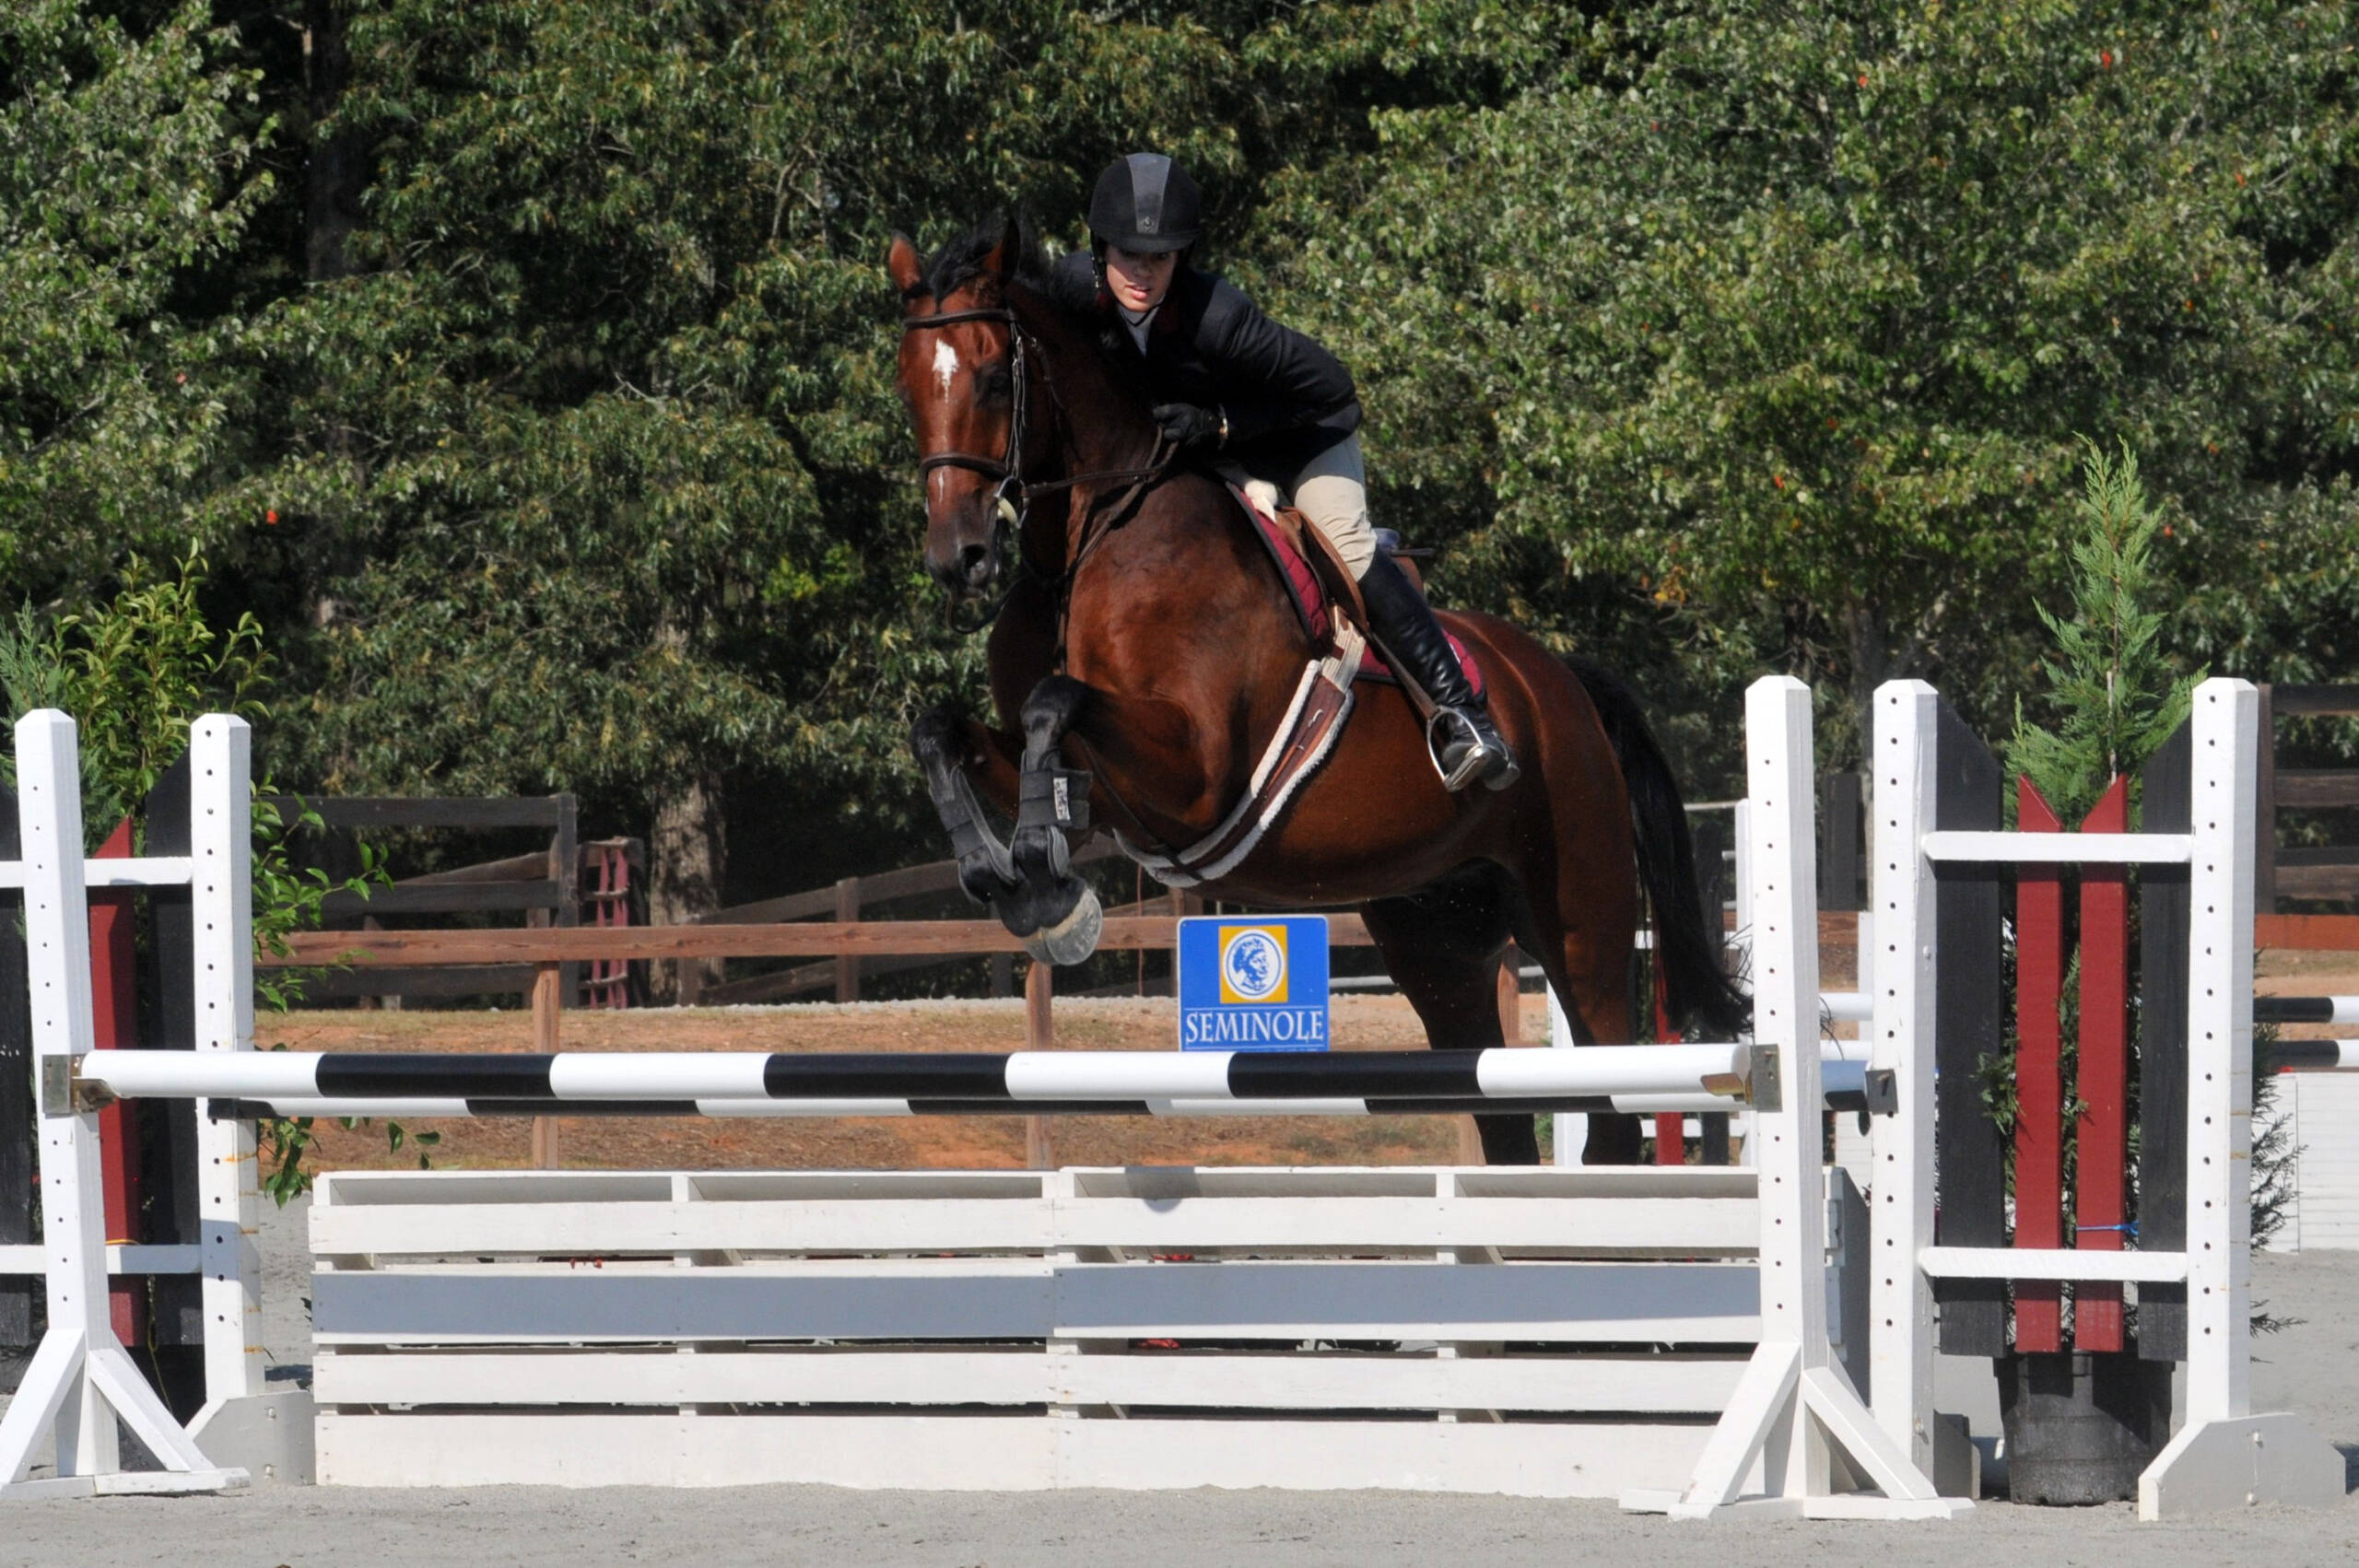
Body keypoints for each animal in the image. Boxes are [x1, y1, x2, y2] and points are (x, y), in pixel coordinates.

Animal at [886, 214, 1736, 1155]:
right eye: (907, 384)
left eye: (995, 377)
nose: (957, 558)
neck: (1091, 537)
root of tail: (1564, 686)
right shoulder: (1115, 788)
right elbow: (943, 730)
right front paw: (1006, 877)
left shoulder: (1197, 774)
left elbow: (1053, 703)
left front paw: (1045, 880)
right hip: (1439, 938)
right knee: (1500, 1111)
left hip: (1580, 921)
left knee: (1607, 1097)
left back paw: (1471, 737)